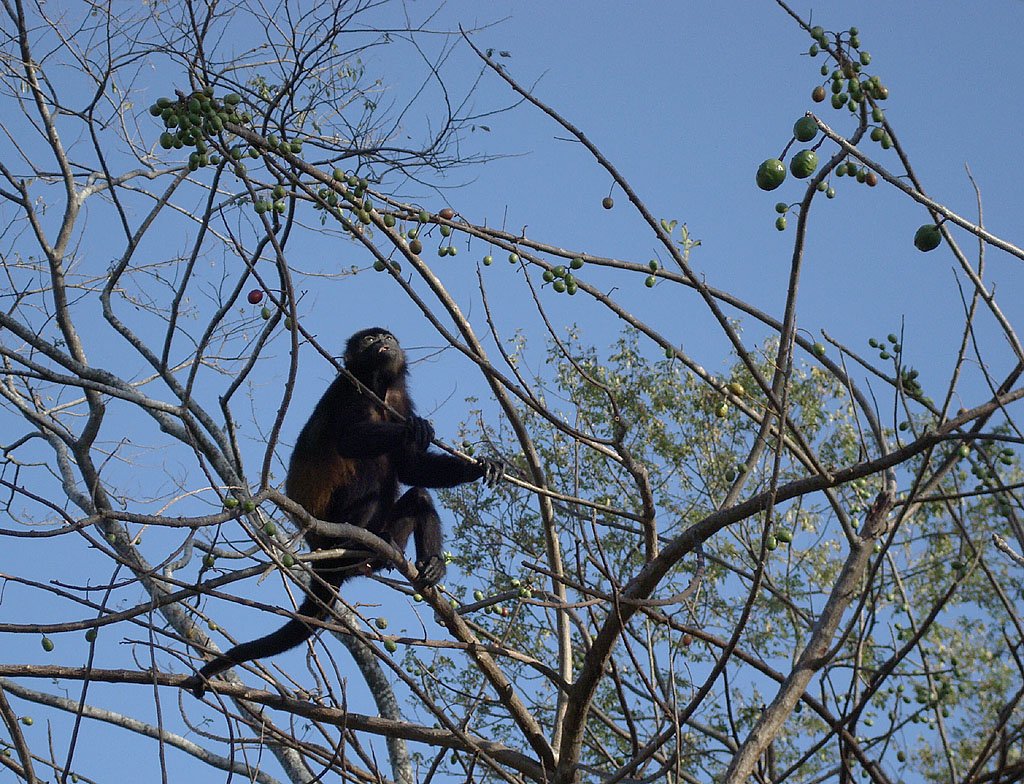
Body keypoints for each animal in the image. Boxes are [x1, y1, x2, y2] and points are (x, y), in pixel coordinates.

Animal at [187, 327, 503, 695]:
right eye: (369, 339)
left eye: (387, 336)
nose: (383, 341)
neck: (378, 387)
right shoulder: (349, 392)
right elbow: (350, 442)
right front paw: (413, 428)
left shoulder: (399, 399)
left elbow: (412, 468)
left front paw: (478, 467)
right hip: (331, 525)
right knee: (366, 475)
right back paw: (357, 543)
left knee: (418, 497)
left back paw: (423, 562)